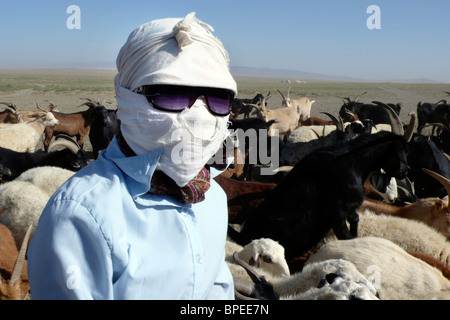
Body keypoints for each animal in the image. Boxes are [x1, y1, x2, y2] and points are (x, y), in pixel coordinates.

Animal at [229, 107, 414, 260]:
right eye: (401, 149)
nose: (405, 171)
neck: (352, 160)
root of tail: (243, 236)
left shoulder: (349, 210)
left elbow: (355, 220)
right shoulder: (336, 214)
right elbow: (345, 236)